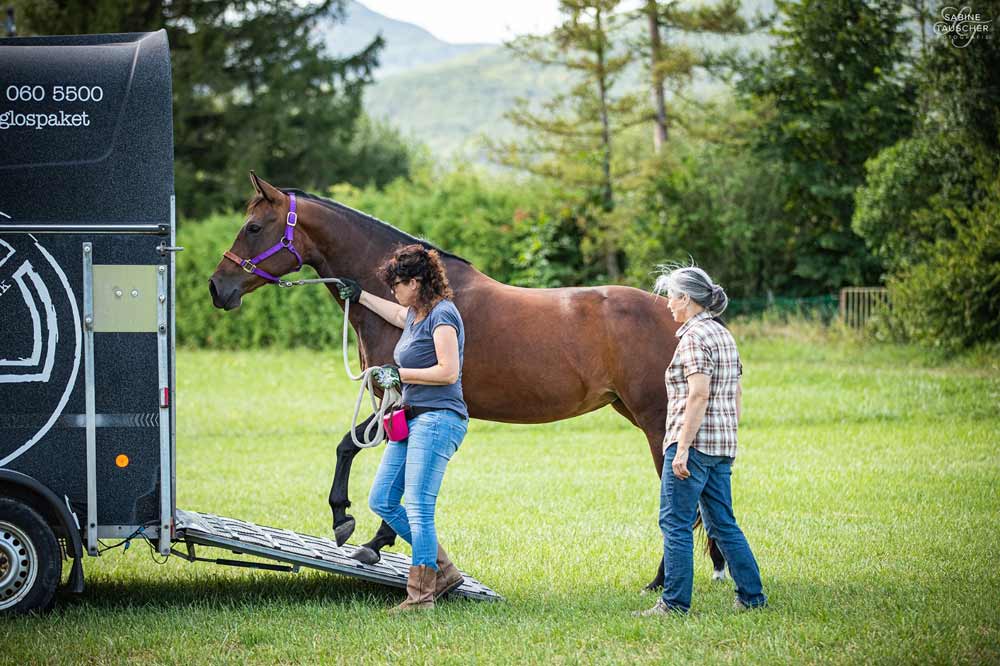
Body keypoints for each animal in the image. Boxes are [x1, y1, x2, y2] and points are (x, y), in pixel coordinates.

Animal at [209, 172, 728, 588]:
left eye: (254, 227)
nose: (218, 288)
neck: (414, 299)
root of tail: (682, 319)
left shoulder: (401, 398)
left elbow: (360, 455)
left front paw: (348, 522)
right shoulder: (400, 404)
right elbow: (368, 459)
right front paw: (371, 536)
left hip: (656, 421)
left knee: (682, 498)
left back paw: (665, 580)